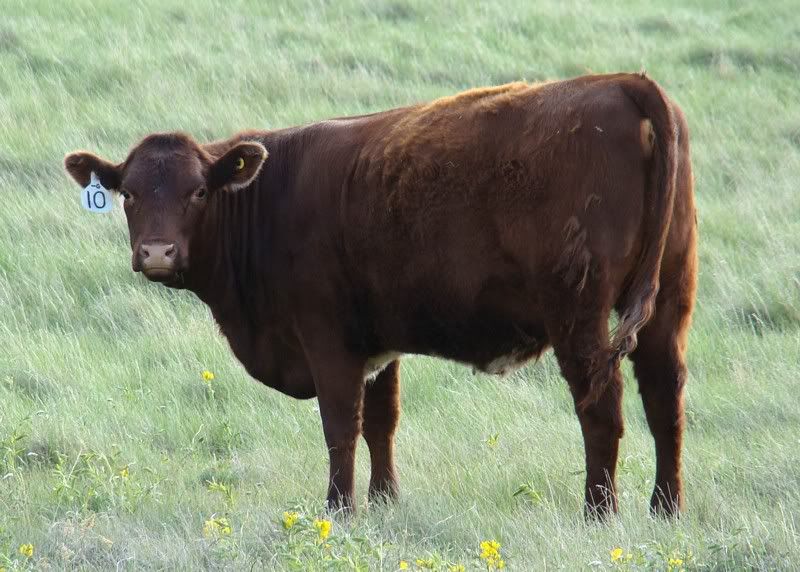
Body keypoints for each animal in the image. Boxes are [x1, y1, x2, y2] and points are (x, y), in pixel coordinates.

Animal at [64, 72, 697, 518]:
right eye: (129, 194)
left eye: (198, 192)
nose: (157, 253)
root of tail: (621, 82)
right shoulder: (378, 341)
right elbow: (381, 422)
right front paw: (386, 502)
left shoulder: (327, 338)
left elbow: (341, 426)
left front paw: (340, 510)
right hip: (668, 302)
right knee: (665, 401)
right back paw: (665, 509)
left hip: (579, 314)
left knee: (602, 412)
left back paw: (599, 513)